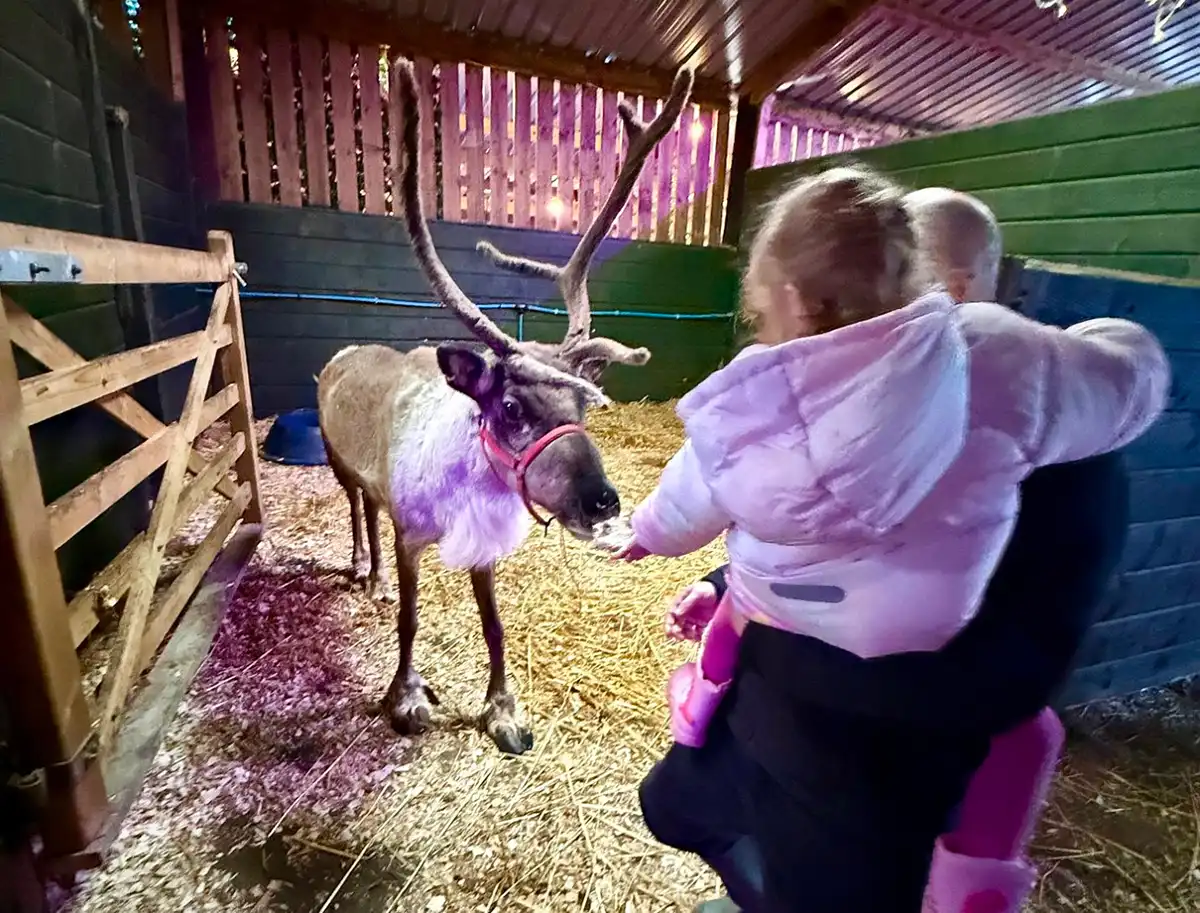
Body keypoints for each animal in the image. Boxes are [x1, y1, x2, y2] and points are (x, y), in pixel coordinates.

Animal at [317, 57, 695, 754]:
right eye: (513, 407)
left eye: (584, 405)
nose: (603, 501)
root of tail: (343, 353)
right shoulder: (412, 536)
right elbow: (410, 620)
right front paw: (406, 697)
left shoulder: (483, 549)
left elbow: (494, 627)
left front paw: (503, 710)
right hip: (338, 461)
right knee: (359, 510)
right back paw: (366, 573)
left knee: (370, 509)